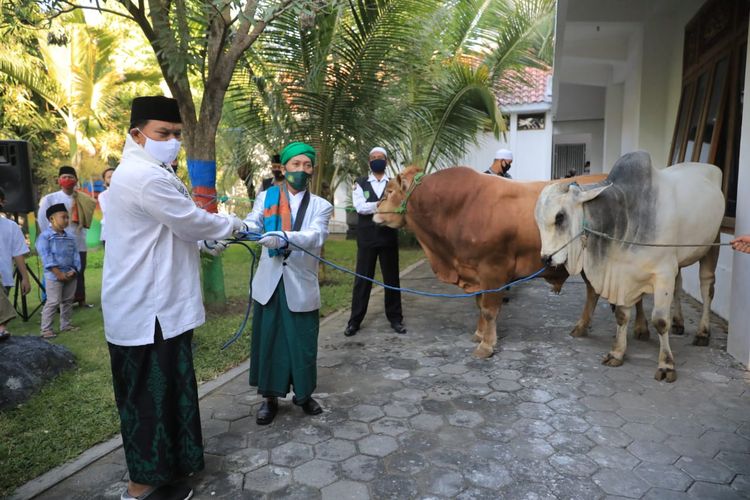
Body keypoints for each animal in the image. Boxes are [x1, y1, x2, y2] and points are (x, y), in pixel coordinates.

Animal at [376, 166, 652, 358]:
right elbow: (480, 305)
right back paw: (582, 327)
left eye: (389, 191)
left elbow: (489, 309)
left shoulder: (493, 268)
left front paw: (487, 346)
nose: (374, 211)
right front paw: (479, 334)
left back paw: (640, 328)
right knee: (594, 291)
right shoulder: (477, 272)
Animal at [536, 152, 724, 382]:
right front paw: (617, 353)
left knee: (707, 288)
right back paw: (679, 323)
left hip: (712, 244)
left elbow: (660, 320)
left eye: (560, 217)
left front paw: (666, 365)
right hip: (678, 261)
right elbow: (621, 315)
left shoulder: (663, 272)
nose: (546, 259)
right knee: (679, 286)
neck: (624, 216)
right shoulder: (624, 275)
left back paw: (703, 332)